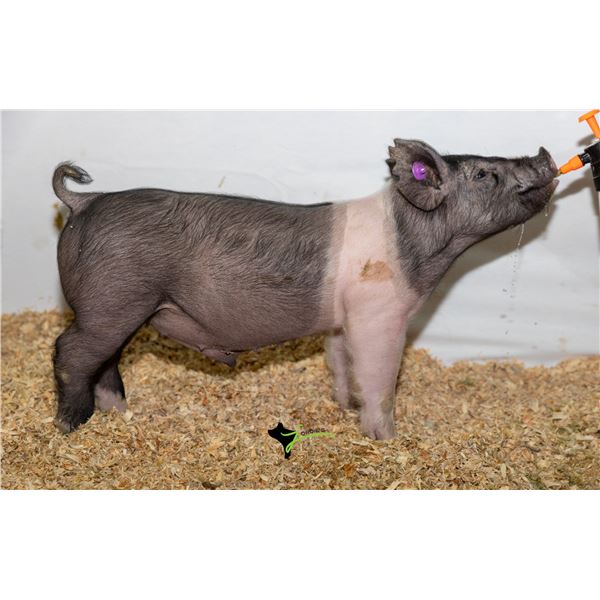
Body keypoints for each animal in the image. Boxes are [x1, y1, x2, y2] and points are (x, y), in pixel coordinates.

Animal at [52, 139, 558, 439]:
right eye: (483, 174)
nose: (543, 152)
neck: (417, 242)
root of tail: (85, 200)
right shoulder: (379, 314)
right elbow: (380, 378)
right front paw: (386, 439)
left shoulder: (342, 320)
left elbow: (341, 363)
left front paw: (345, 406)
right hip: (111, 299)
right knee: (71, 351)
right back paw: (71, 426)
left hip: (120, 307)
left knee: (105, 360)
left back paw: (119, 413)